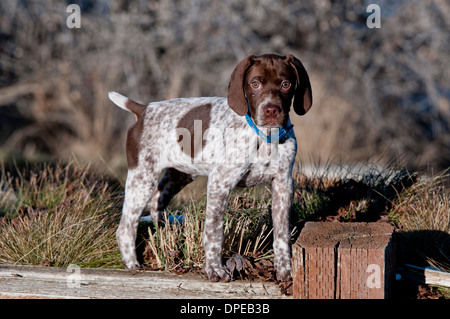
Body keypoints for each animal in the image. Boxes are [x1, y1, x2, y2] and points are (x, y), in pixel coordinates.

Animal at [109, 53, 312, 282]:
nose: (271, 110)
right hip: (142, 176)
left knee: (156, 202)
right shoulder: (220, 183)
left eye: (286, 84)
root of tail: (144, 109)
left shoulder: (283, 185)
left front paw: (285, 269)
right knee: (126, 225)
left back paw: (164, 234)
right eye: (255, 84)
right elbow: (214, 230)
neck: (264, 136)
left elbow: (282, 232)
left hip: (179, 175)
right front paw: (215, 269)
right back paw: (131, 263)